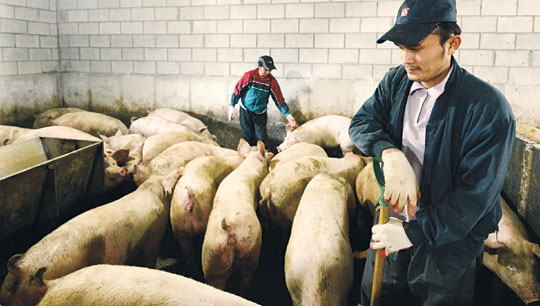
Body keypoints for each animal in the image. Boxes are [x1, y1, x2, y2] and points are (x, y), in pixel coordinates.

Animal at [200, 139, 270, 292]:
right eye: (266, 157)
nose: (272, 153)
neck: (249, 166)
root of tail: (228, 226)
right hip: (251, 247)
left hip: (212, 256)